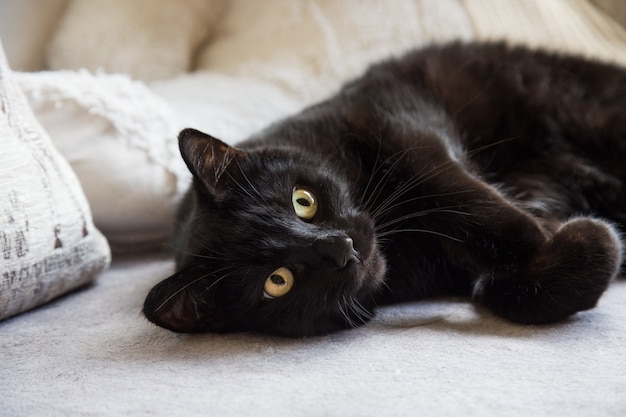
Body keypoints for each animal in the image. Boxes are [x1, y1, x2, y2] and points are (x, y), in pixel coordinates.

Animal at [143, 41, 624, 334]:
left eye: (303, 201)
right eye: (277, 281)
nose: (343, 249)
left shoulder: (401, 122)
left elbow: (455, 187)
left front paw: (539, 234)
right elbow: (525, 294)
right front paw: (576, 238)